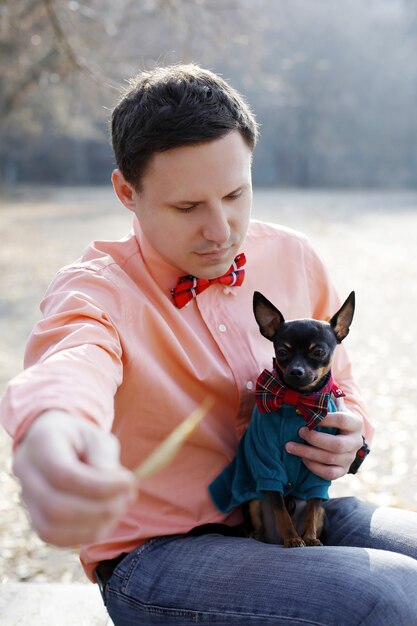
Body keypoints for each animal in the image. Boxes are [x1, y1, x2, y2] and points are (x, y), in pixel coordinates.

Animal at [208, 290, 354, 544]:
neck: (298, 399)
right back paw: (258, 536)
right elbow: (280, 510)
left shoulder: (318, 474)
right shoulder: (267, 464)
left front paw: (310, 537)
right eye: (282, 352)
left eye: (318, 352)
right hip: (252, 501)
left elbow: (313, 507)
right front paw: (293, 538)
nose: (296, 370)